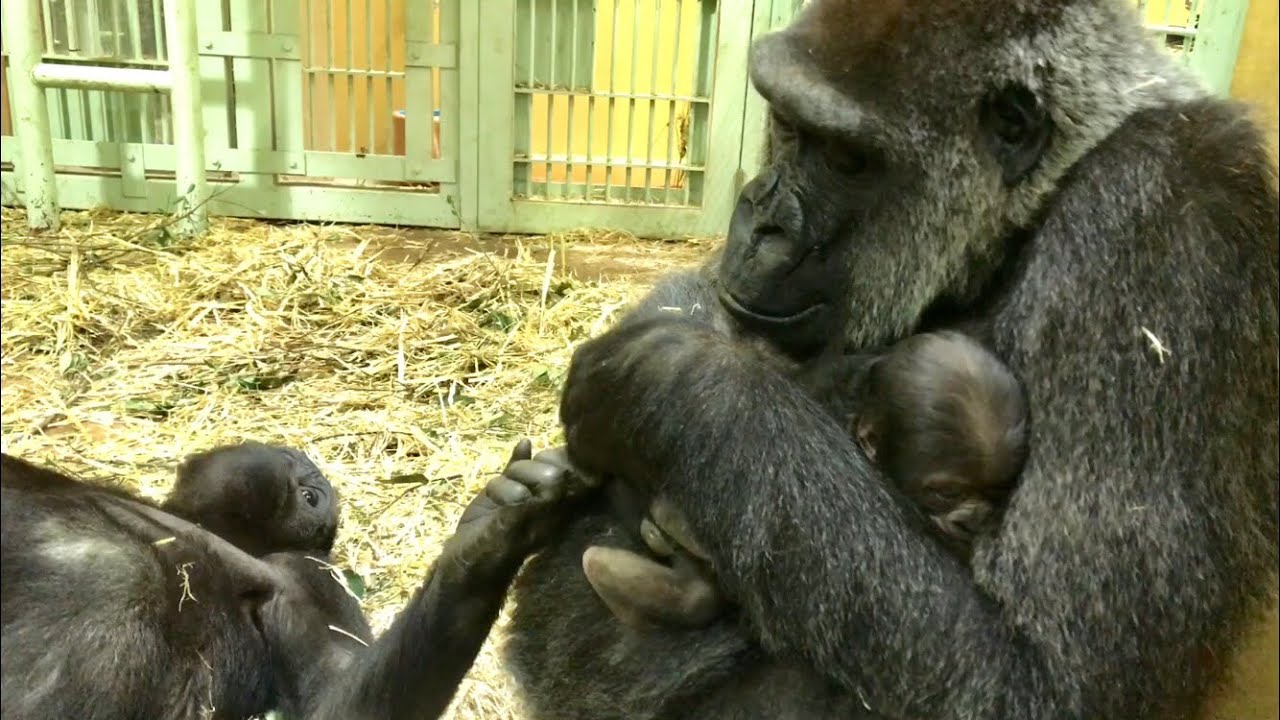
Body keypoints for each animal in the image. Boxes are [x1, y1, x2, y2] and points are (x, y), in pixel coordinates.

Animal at [502, 1, 1279, 718]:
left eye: (845, 159)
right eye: (788, 125)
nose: (762, 218)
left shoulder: (1163, 206)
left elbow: (1046, 680)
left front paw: (665, 382)